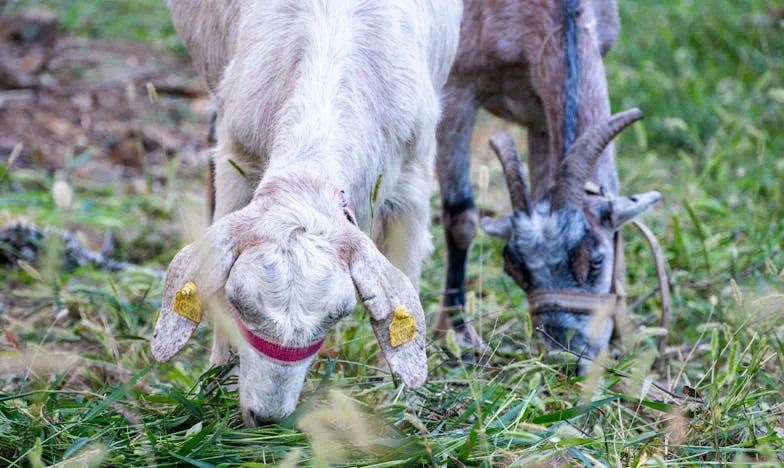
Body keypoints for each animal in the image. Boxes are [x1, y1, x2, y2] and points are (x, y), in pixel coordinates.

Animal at [150, 0, 462, 426]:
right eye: (238, 301)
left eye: (338, 315)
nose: (267, 418)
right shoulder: (237, 157)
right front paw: (218, 386)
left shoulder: (413, 180)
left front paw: (400, 405)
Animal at [434, 0, 660, 362]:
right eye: (513, 268)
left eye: (596, 260)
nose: (565, 355)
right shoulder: (457, 89)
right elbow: (461, 218)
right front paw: (456, 333)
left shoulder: (538, 108)